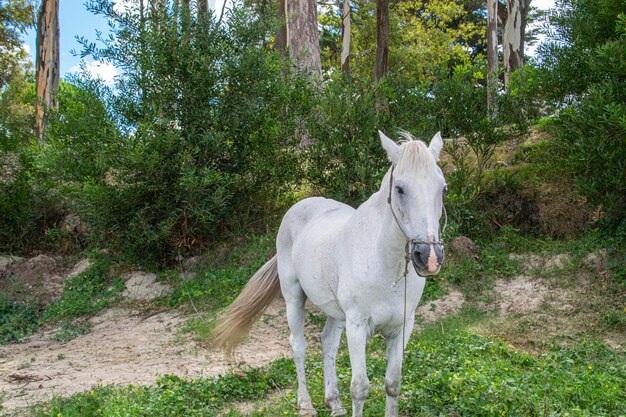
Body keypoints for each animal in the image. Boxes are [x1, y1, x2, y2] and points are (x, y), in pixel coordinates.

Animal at [214, 132, 444, 416]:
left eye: (442, 188)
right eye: (399, 188)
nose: (429, 257)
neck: (384, 266)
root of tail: (300, 206)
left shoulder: (403, 326)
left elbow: (393, 384)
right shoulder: (357, 326)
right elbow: (359, 388)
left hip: (335, 311)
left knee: (328, 343)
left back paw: (333, 403)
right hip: (294, 298)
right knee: (298, 346)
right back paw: (306, 405)